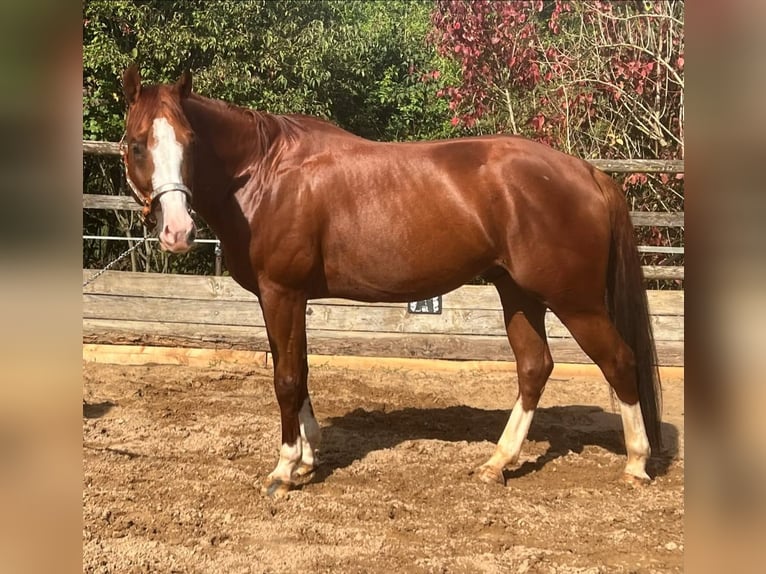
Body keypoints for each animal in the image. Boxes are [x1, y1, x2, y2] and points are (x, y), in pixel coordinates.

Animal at [120, 65, 661, 498]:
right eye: (137, 143)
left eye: (189, 143)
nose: (177, 231)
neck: (265, 173)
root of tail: (588, 173)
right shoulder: (286, 299)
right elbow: (300, 371)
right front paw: (309, 457)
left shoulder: (282, 293)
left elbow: (287, 379)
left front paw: (285, 468)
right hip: (519, 293)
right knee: (534, 367)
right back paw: (496, 463)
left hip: (576, 301)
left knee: (619, 360)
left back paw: (636, 463)